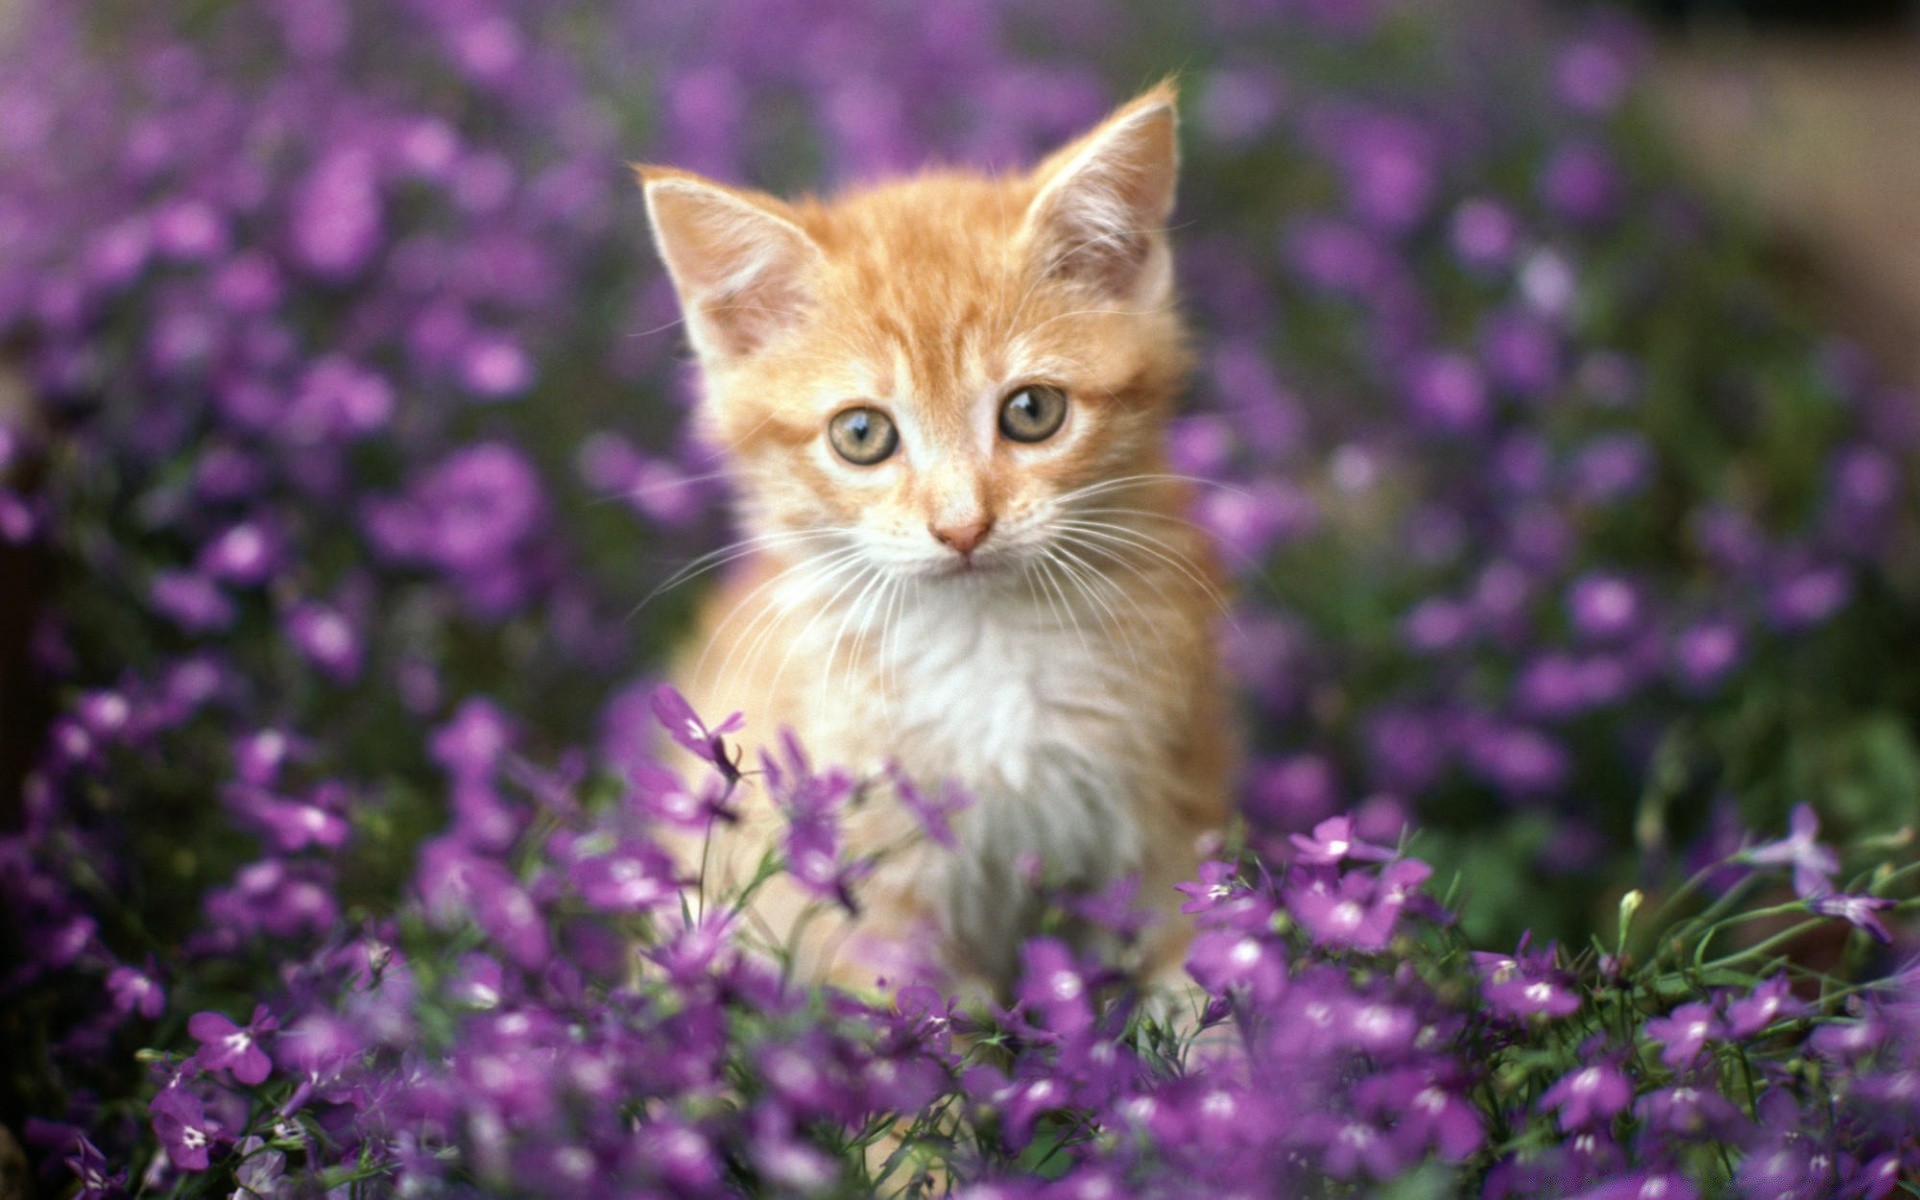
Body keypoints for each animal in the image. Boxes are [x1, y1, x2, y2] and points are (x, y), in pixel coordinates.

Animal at [637, 84, 1236, 998]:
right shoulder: (867, 872)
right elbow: (914, 1009)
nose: (963, 525)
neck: (986, 642)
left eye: (1033, 411)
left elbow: (1194, 946)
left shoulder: (1175, 789)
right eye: (861, 434)